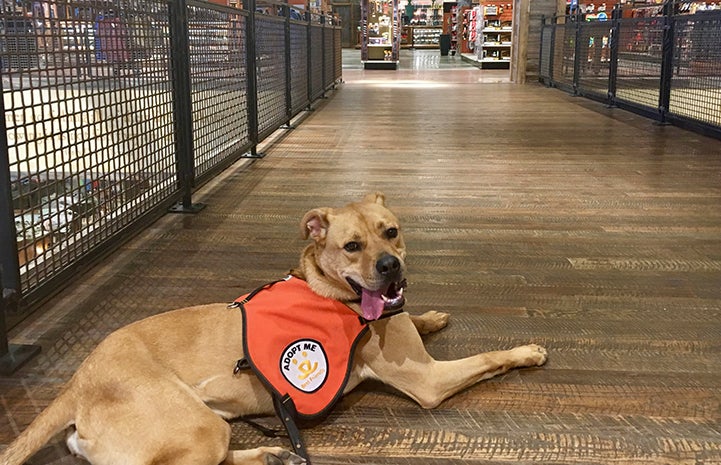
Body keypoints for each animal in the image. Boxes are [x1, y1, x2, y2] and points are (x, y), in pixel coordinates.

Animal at [0, 192, 544, 464]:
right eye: (351, 246)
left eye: (391, 232)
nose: (391, 267)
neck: (332, 291)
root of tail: (78, 382)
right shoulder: (428, 380)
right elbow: (487, 358)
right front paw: (527, 352)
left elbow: (413, 315)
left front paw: (429, 316)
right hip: (197, 428)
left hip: (208, 427)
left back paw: (268, 454)